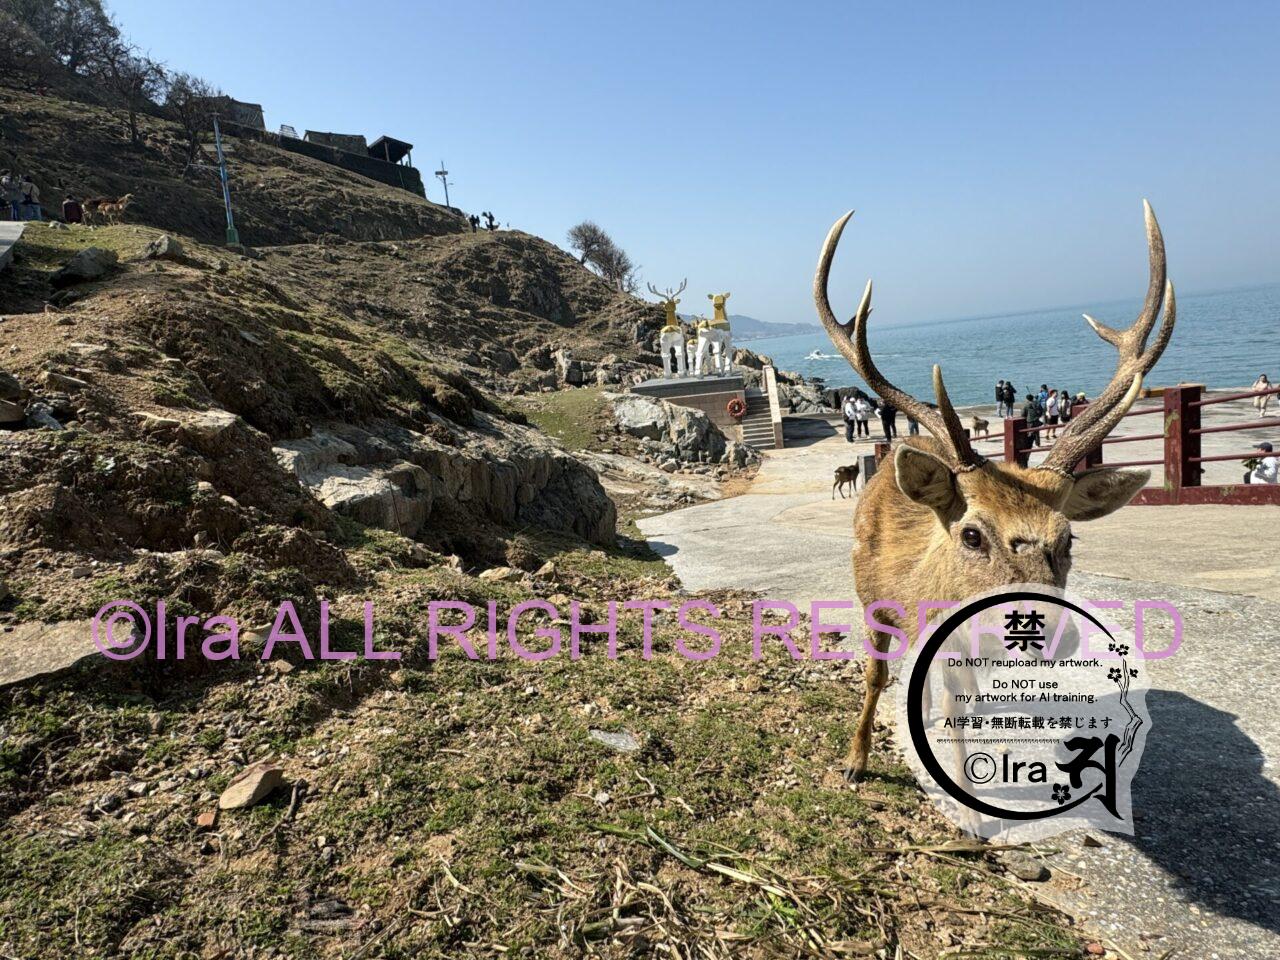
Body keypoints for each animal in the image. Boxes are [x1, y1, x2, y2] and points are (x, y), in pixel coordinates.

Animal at [814, 201, 1176, 782]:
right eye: (972, 535)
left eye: (1069, 538)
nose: (1052, 632)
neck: (914, 589)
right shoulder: (873, 603)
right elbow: (874, 680)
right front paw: (854, 761)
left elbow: (964, 702)